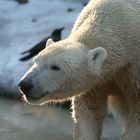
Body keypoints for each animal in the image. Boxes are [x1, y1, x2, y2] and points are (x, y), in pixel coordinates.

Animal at [18, 0, 140, 139]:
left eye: (55, 67)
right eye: (35, 61)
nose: (25, 85)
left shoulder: (133, 70)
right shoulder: (95, 84)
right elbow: (88, 112)